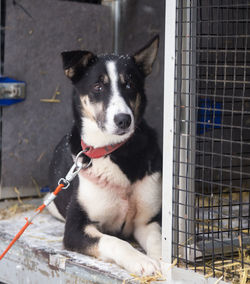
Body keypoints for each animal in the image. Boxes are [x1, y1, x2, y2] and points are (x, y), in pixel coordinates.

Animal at [47, 35, 162, 276]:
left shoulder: (147, 221)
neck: (116, 151)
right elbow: (115, 241)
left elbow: (158, 241)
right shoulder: (75, 228)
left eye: (129, 85)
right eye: (98, 86)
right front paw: (141, 261)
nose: (123, 120)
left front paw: (165, 261)